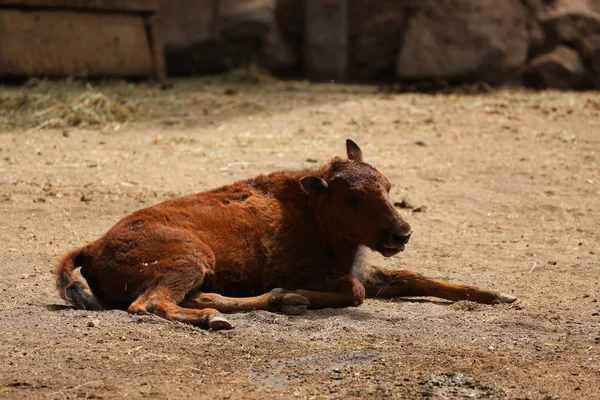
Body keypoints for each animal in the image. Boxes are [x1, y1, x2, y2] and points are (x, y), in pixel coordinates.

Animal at [55, 140, 516, 328]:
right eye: (353, 198)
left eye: (388, 185)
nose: (401, 234)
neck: (313, 210)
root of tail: (92, 246)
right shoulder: (323, 275)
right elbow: (354, 292)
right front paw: (294, 296)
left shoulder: (370, 271)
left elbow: (419, 278)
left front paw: (500, 295)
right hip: (189, 260)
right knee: (150, 304)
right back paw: (220, 318)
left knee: (190, 297)